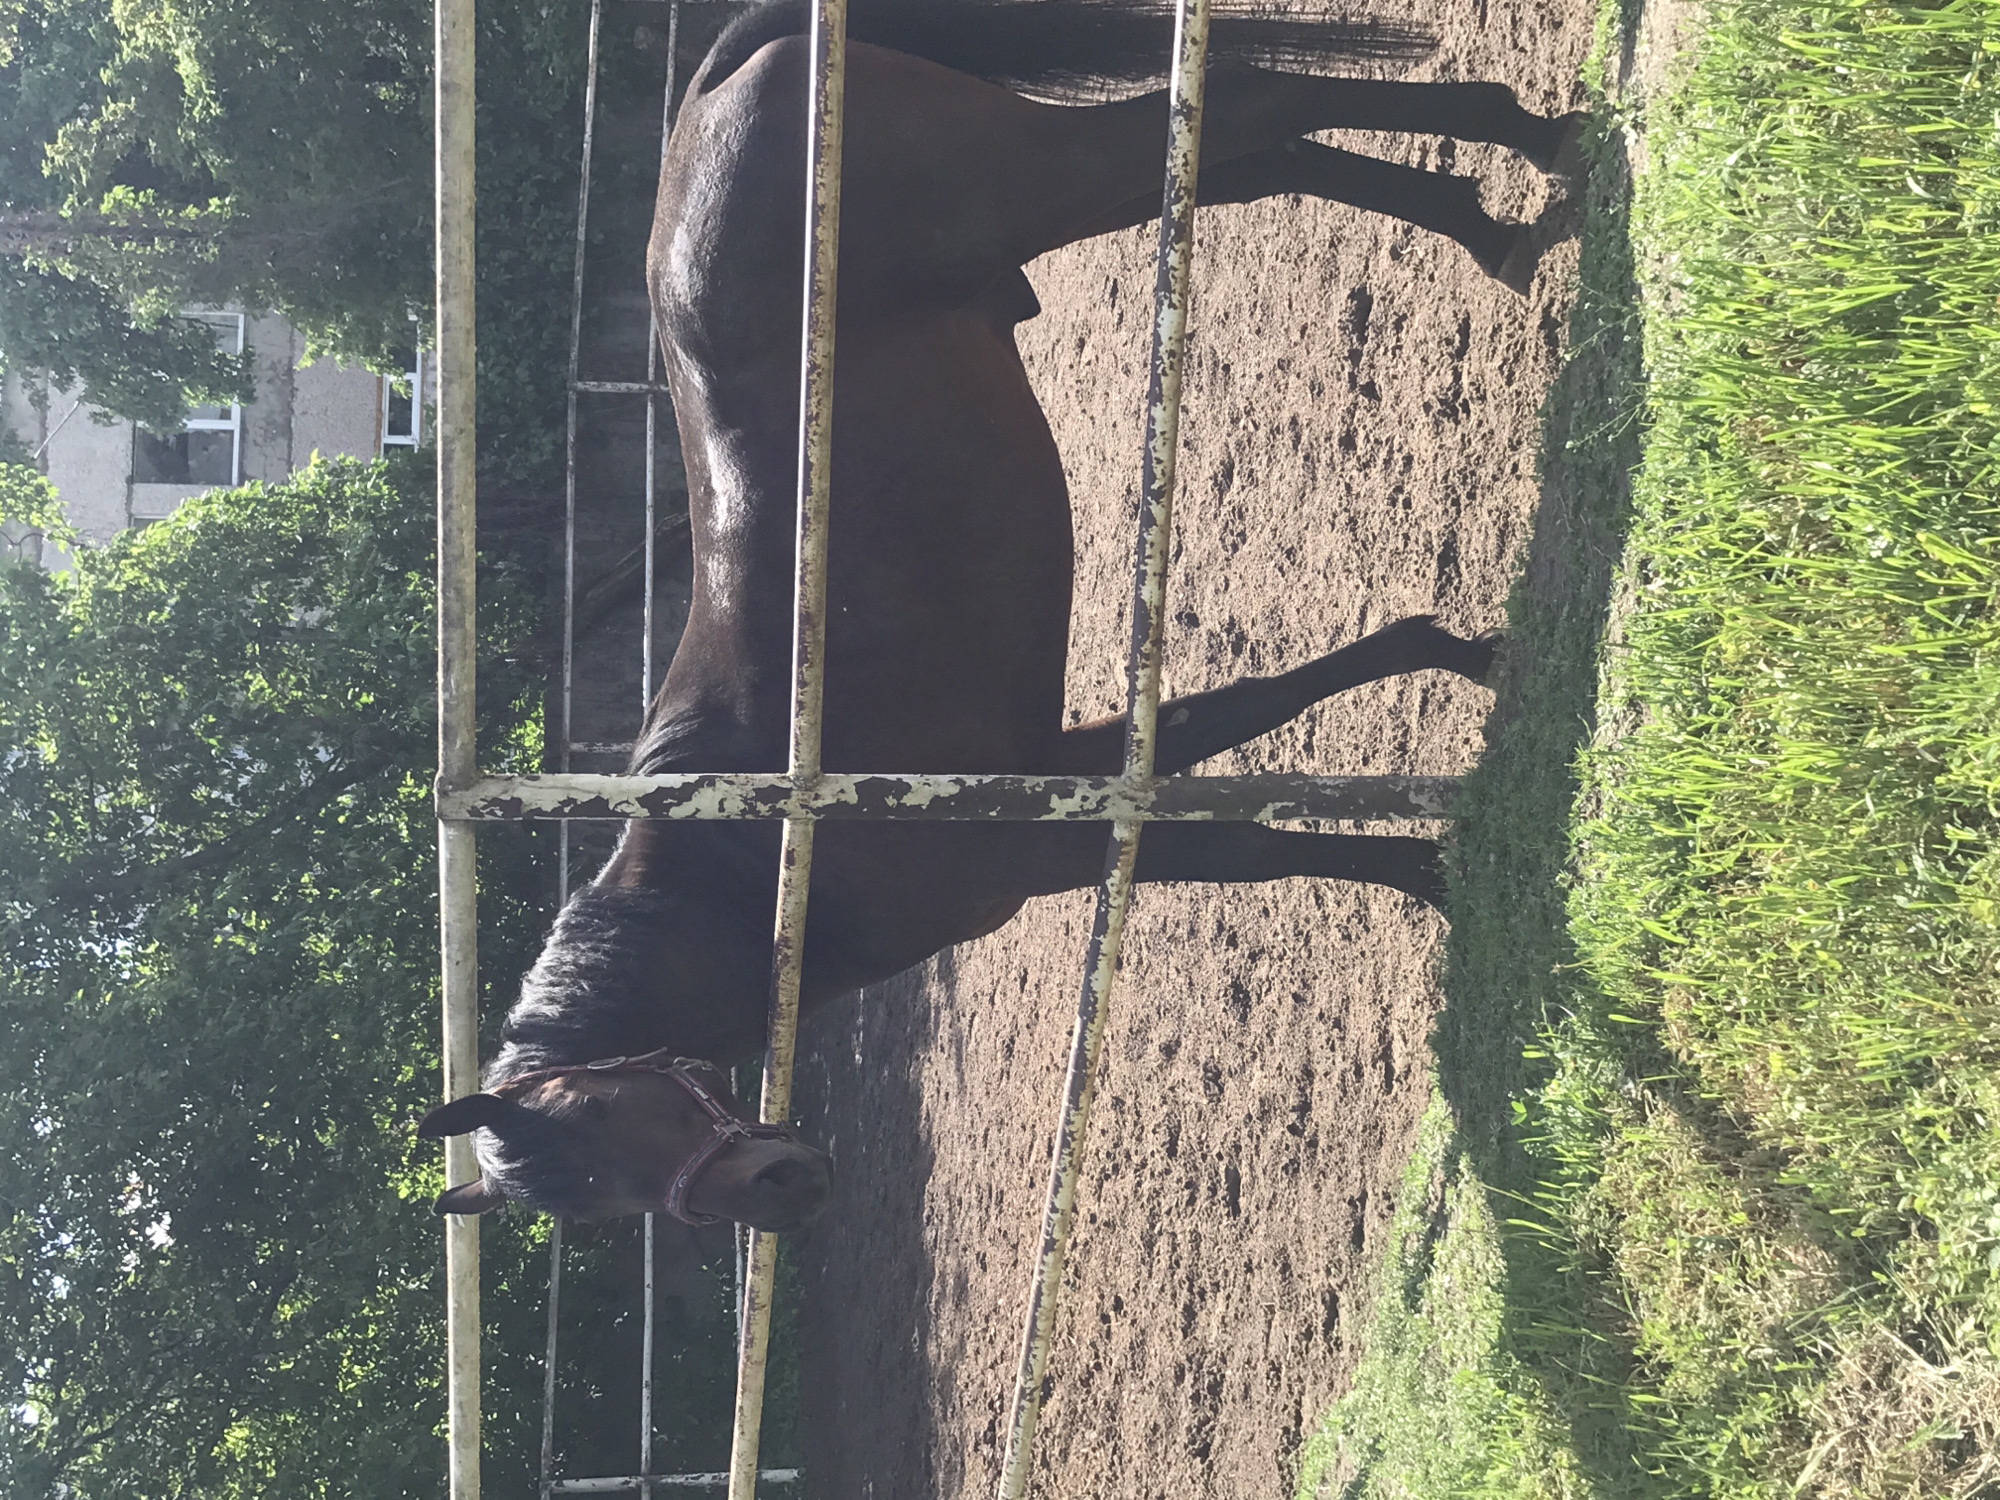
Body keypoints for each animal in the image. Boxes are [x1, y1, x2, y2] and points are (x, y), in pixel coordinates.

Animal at [418, 0, 1582, 1230]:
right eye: (594, 1200)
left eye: (606, 1114)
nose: (783, 1191)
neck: (761, 855)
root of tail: (713, 92)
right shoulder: (1062, 778)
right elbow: (1248, 752)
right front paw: (1450, 696)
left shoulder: (1031, 839)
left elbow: (1245, 842)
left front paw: (1439, 867)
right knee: (1253, 158)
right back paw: (1491, 223)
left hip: (1048, 176)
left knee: (1246, 106)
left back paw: (1523, 151)